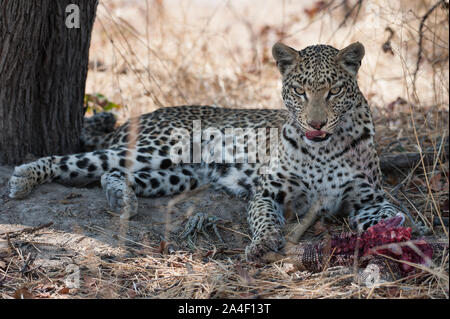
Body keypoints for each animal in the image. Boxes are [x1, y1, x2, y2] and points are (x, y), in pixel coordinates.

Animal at [7, 42, 408, 262]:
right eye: (300, 91)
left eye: (334, 91)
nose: (317, 123)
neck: (324, 149)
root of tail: (138, 118)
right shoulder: (269, 192)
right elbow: (265, 219)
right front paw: (263, 245)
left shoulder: (369, 198)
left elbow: (391, 215)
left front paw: (403, 239)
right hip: (161, 147)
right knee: (77, 161)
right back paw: (23, 178)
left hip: (177, 174)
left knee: (112, 173)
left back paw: (122, 200)